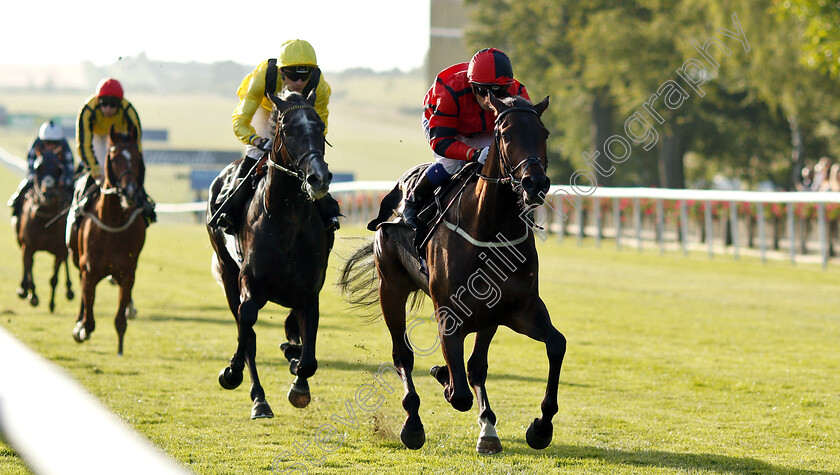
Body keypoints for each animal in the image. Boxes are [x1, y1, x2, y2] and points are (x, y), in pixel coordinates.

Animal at [14, 144, 74, 312]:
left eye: (59, 169)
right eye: (38, 167)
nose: (48, 195)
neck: (46, 219)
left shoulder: (59, 250)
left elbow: (54, 278)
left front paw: (52, 303)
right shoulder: (28, 246)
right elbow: (29, 269)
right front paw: (31, 295)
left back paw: (69, 290)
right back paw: (24, 289)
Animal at [69, 124, 148, 356]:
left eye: (137, 158)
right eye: (114, 158)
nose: (130, 191)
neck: (113, 223)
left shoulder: (128, 273)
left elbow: (120, 318)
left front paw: (120, 348)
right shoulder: (89, 270)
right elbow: (89, 320)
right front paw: (81, 329)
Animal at [205, 89, 334, 420]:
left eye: (320, 128)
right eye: (287, 130)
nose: (318, 178)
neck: (286, 219)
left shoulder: (309, 291)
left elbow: (307, 355)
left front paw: (298, 380)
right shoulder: (249, 281)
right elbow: (247, 322)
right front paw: (232, 372)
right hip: (227, 271)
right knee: (245, 328)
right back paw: (258, 398)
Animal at [338, 93, 568, 454]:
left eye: (543, 133)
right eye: (505, 135)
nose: (535, 183)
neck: (490, 229)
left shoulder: (518, 309)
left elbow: (555, 345)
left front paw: (540, 427)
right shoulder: (449, 314)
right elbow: (458, 392)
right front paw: (443, 377)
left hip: (487, 317)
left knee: (476, 367)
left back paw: (487, 426)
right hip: (391, 288)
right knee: (403, 355)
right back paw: (413, 424)